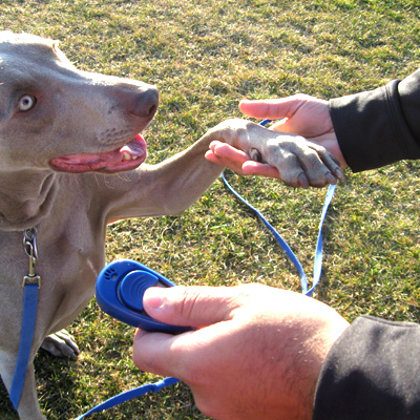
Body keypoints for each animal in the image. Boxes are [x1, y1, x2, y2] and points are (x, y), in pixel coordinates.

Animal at [0, 32, 342, 420]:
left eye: (56, 49)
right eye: (26, 102)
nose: (149, 96)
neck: (34, 222)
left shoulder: (154, 191)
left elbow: (227, 126)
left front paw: (284, 145)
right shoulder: (11, 359)